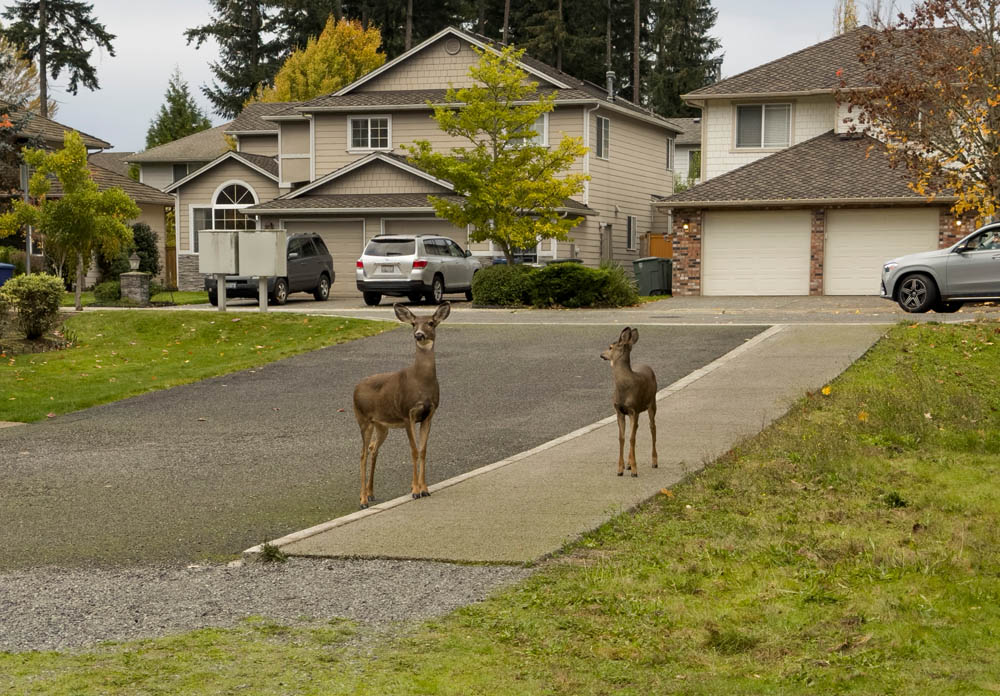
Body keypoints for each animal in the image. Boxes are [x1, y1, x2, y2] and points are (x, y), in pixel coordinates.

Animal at [353, 302, 451, 509]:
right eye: (413, 323)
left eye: (431, 322)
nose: (419, 334)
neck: (421, 382)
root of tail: (355, 388)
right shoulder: (407, 413)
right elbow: (414, 450)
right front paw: (415, 491)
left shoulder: (429, 414)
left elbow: (423, 450)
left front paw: (425, 489)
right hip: (363, 419)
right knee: (362, 453)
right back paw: (363, 499)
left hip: (382, 425)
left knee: (373, 448)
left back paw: (371, 493)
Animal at [601, 327, 658, 477]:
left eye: (610, 347)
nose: (602, 354)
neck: (624, 387)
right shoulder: (619, 411)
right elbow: (622, 438)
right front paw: (620, 469)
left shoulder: (633, 409)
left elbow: (632, 438)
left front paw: (635, 470)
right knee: (637, 429)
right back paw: (628, 464)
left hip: (652, 403)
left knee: (652, 427)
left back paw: (654, 462)